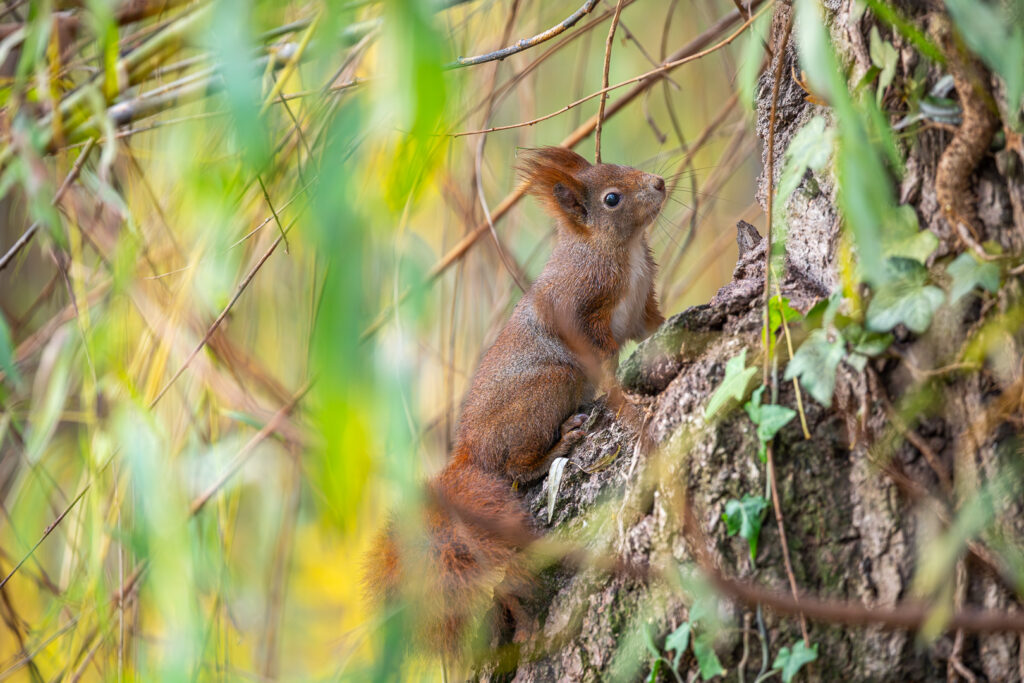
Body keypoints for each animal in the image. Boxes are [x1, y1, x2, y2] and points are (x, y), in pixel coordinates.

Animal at [365, 146, 667, 660]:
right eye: (612, 198)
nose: (661, 183)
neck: (619, 250)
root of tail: (468, 451)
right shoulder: (582, 315)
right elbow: (603, 362)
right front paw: (624, 396)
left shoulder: (642, 306)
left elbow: (655, 324)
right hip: (552, 386)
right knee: (515, 466)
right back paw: (556, 446)